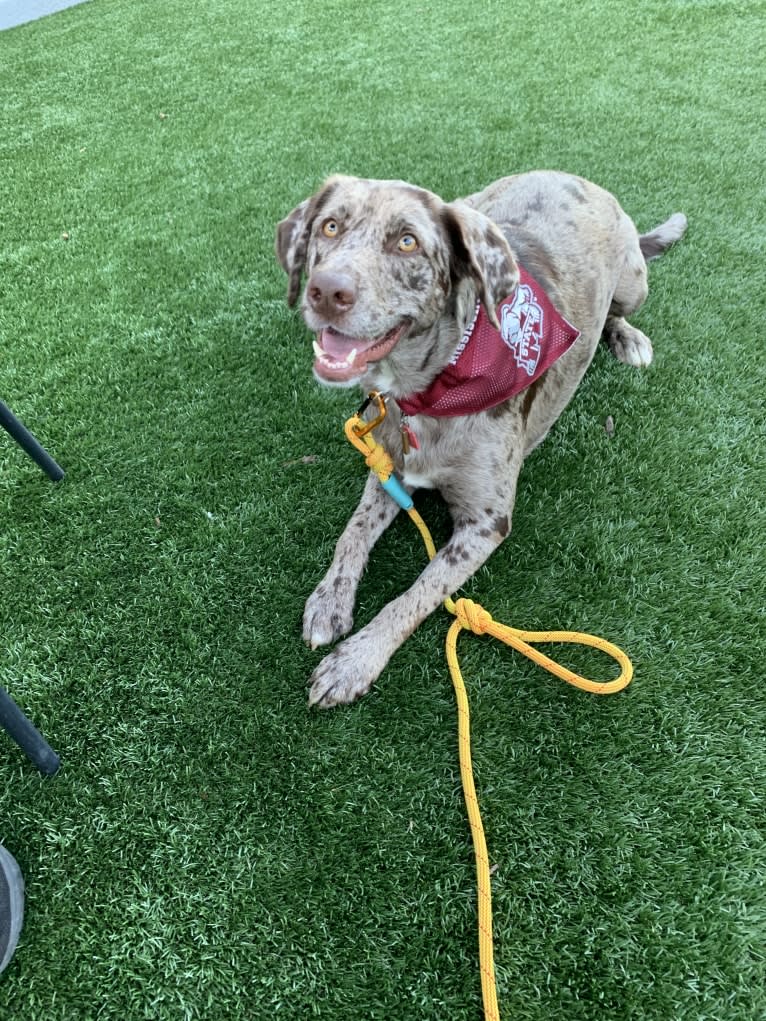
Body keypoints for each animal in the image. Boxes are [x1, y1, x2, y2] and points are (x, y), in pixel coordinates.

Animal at [277, 171, 690, 706]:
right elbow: (352, 533)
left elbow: (417, 594)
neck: (428, 391)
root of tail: (579, 180)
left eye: (407, 242)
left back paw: (627, 338)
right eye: (329, 226)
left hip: (632, 283)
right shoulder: (387, 469)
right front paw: (330, 600)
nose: (326, 291)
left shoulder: (485, 524)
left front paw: (355, 661)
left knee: (621, 311)